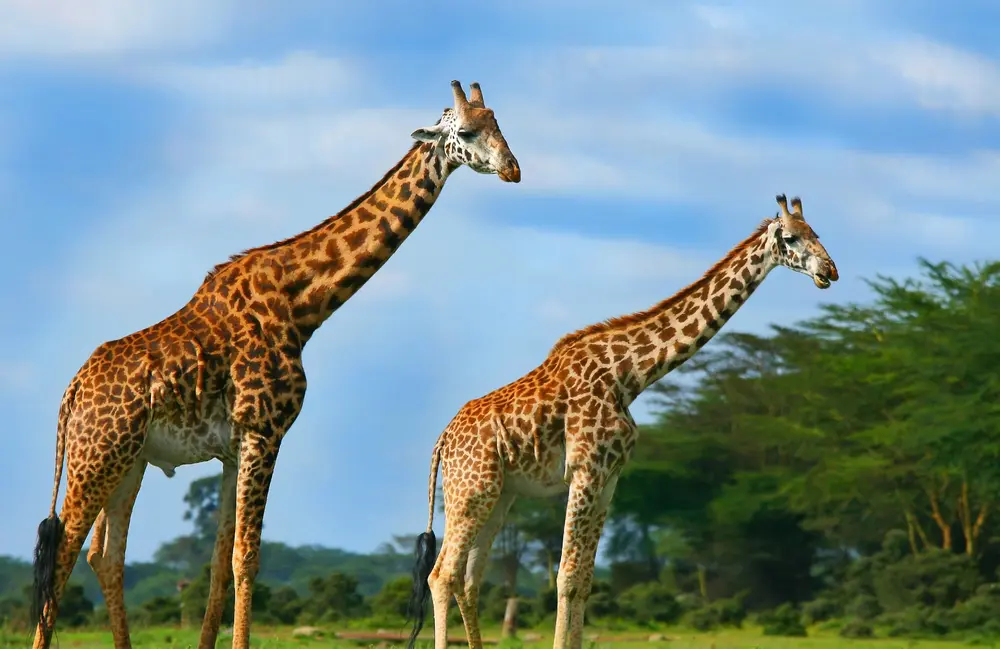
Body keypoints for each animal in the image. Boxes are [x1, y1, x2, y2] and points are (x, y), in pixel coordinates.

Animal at [30, 80, 520, 649]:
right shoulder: (265, 430)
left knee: (104, 554)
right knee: (63, 552)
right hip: (97, 455)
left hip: (129, 461)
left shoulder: (232, 449)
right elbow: (248, 558)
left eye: (499, 124)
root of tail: (70, 395)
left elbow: (220, 564)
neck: (302, 303)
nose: (513, 169)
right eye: (467, 132)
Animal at [405, 195, 839, 649]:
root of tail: (442, 441)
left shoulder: (610, 478)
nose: (830, 271)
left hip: (499, 496)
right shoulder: (584, 471)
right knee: (441, 575)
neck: (630, 376)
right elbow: (565, 577)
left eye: (816, 233)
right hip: (470, 491)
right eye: (790, 238)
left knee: (469, 579)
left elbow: (584, 580)